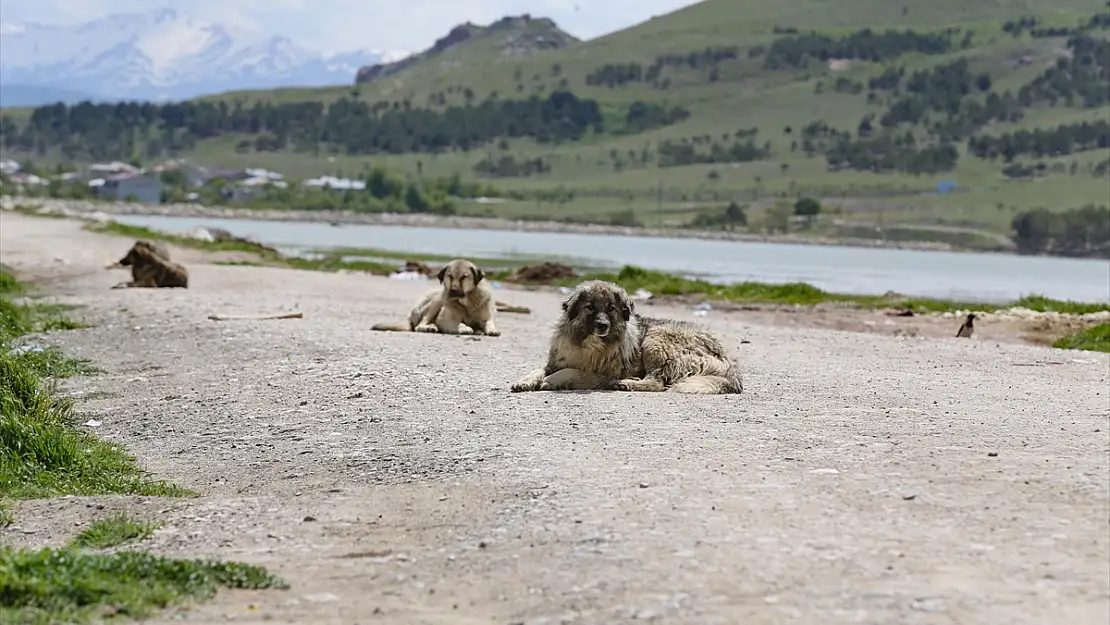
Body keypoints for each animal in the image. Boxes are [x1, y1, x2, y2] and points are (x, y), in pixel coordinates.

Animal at [512, 279, 745, 392]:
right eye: (590, 307)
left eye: (611, 308)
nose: (602, 325)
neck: (590, 346)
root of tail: (729, 363)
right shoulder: (556, 360)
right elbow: (537, 370)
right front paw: (524, 381)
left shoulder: (603, 374)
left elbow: (572, 371)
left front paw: (552, 381)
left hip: (656, 339)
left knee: (657, 382)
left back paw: (626, 383)